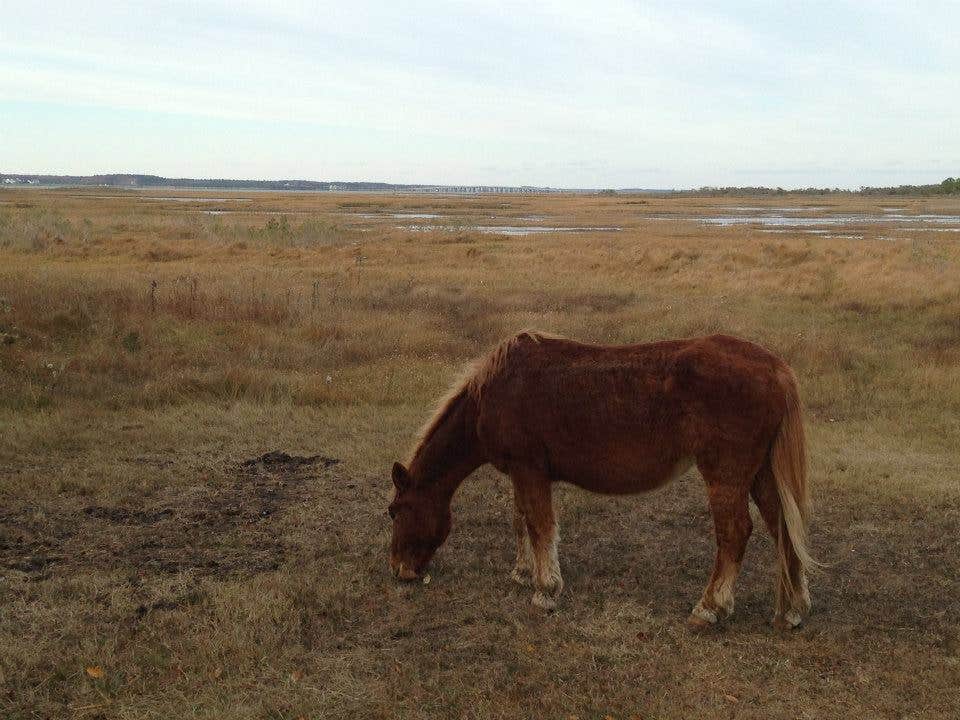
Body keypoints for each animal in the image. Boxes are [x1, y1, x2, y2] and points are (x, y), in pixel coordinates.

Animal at [388, 331, 815, 630]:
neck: (493, 393)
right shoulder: (520, 472)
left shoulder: (529, 469)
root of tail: (777, 369)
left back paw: (709, 609)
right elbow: (521, 521)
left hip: (726, 475)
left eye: (395, 511)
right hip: (760, 474)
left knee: (734, 533)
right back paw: (791, 611)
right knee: (782, 528)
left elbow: (540, 526)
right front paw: (524, 574)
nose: (399, 570)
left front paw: (546, 592)